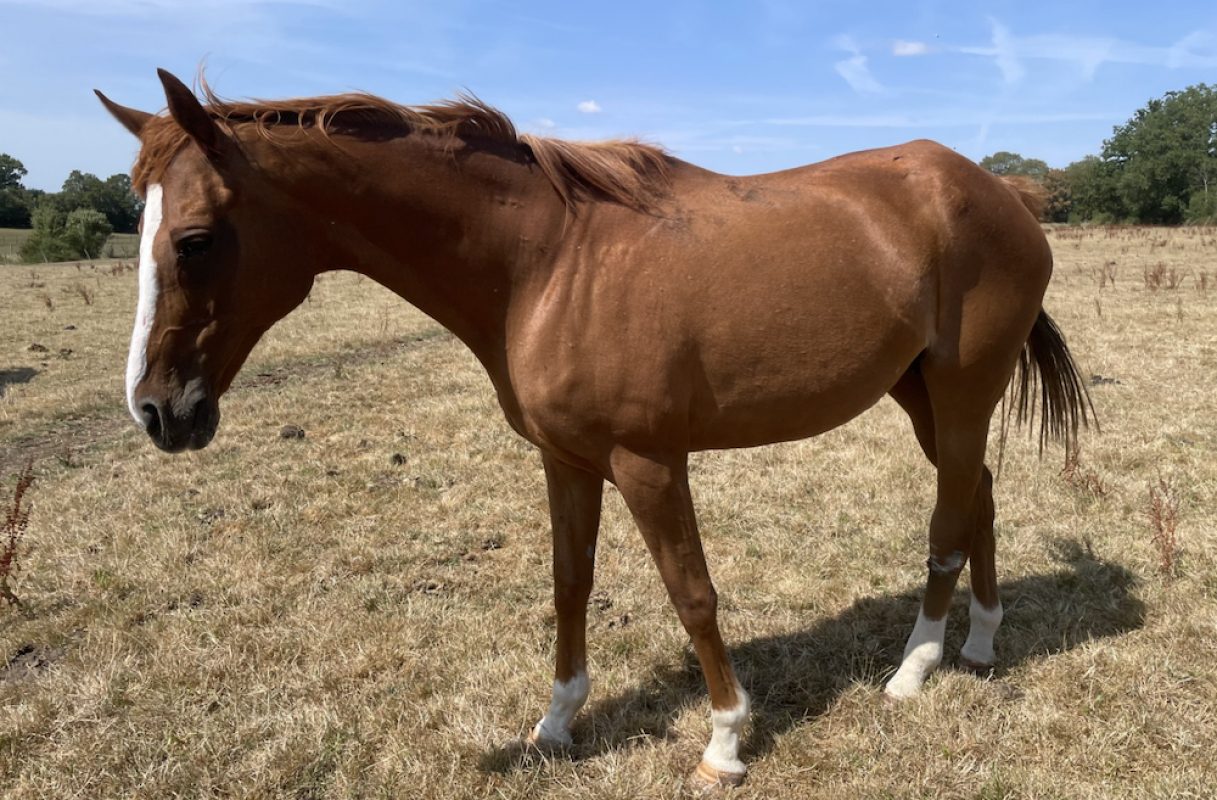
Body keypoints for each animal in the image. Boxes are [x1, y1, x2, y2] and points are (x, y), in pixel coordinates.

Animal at [96, 69, 1091, 789]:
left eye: (192, 239)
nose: (157, 411)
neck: (543, 263)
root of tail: (999, 191)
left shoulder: (648, 463)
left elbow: (692, 594)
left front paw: (724, 742)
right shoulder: (565, 461)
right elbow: (569, 586)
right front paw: (556, 723)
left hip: (960, 391)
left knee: (946, 518)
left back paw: (914, 668)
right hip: (921, 394)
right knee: (977, 496)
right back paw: (979, 644)